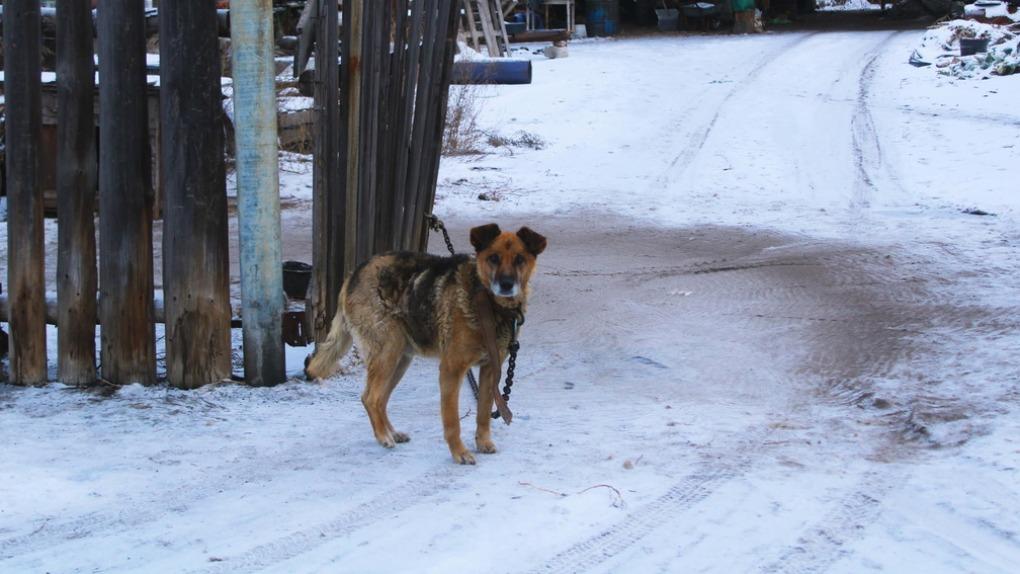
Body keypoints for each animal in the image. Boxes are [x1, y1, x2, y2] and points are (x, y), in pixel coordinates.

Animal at [301, 222, 546, 464]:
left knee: (379, 399)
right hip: (388, 352)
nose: (506, 285)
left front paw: (483, 442)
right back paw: (383, 437)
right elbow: (452, 420)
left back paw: (391, 432)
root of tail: (354, 273)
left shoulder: (490, 370)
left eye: (520, 259)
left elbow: (484, 412)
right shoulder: (452, 369)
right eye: (493, 258)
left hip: (400, 359)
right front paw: (459, 452)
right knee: (370, 397)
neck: (488, 303)